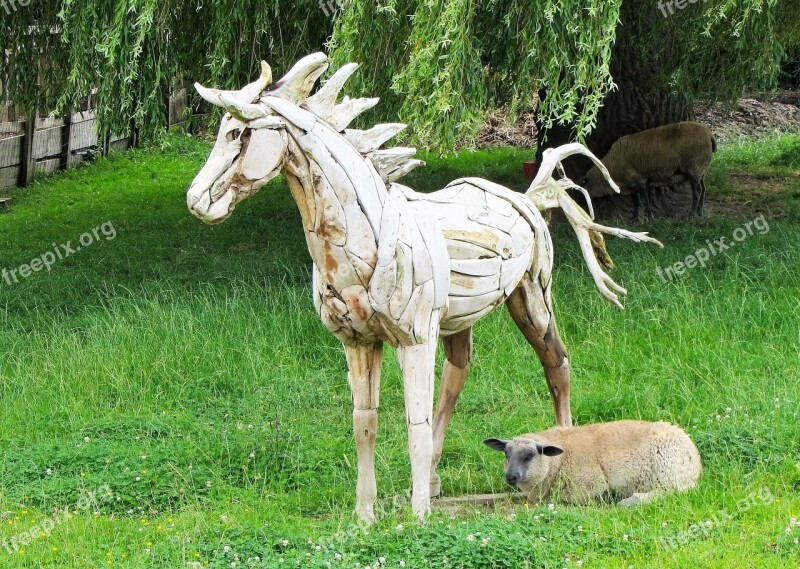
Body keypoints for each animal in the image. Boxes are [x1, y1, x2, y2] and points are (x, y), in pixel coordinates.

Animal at [482, 420, 700, 504]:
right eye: (506, 454)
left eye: (529, 455)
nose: (510, 477)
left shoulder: (589, 485)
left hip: (670, 473)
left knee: (673, 492)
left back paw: (629, 501)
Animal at [580, 121, 716, 219]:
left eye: (583, 188)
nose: (582, 207)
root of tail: (709, 134)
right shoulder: (631, 183)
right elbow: (636, 200)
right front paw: (635, 219)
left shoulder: (639, 180)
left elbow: (644, 200)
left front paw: (649, 217)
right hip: (701, 168)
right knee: (703, 188)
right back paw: (699, 212)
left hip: (694, 167)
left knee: (697, 191)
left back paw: (692, 214)